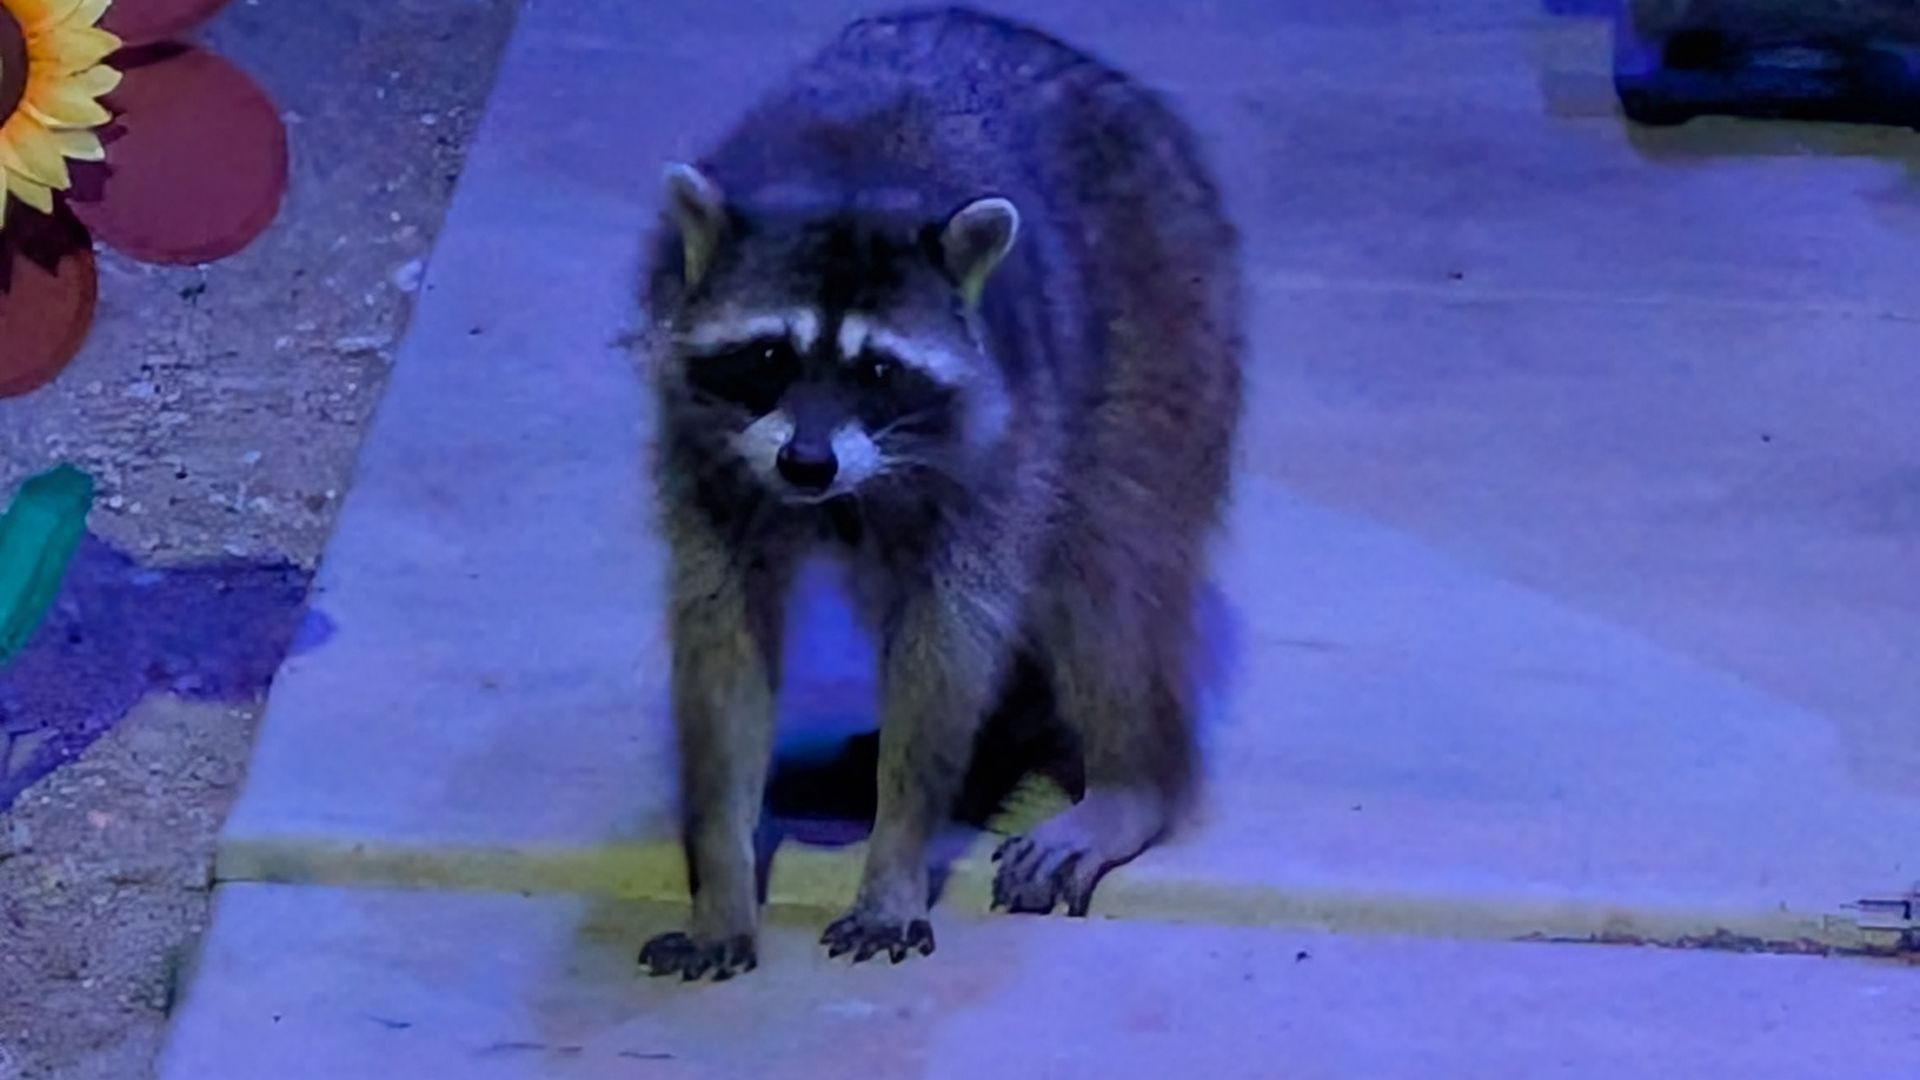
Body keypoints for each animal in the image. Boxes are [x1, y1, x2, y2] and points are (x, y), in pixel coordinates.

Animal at [637, 6, 1242, 981]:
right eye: (769, 355)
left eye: (878, 371)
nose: (807, 465)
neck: (850, 179)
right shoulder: (701, 448)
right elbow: (721, 639)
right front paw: (720, 876)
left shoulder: (995, 445)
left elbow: (947, 646)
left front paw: (897, 856)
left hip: (1170, 335)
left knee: (1106, 583)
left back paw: (1130, 777)